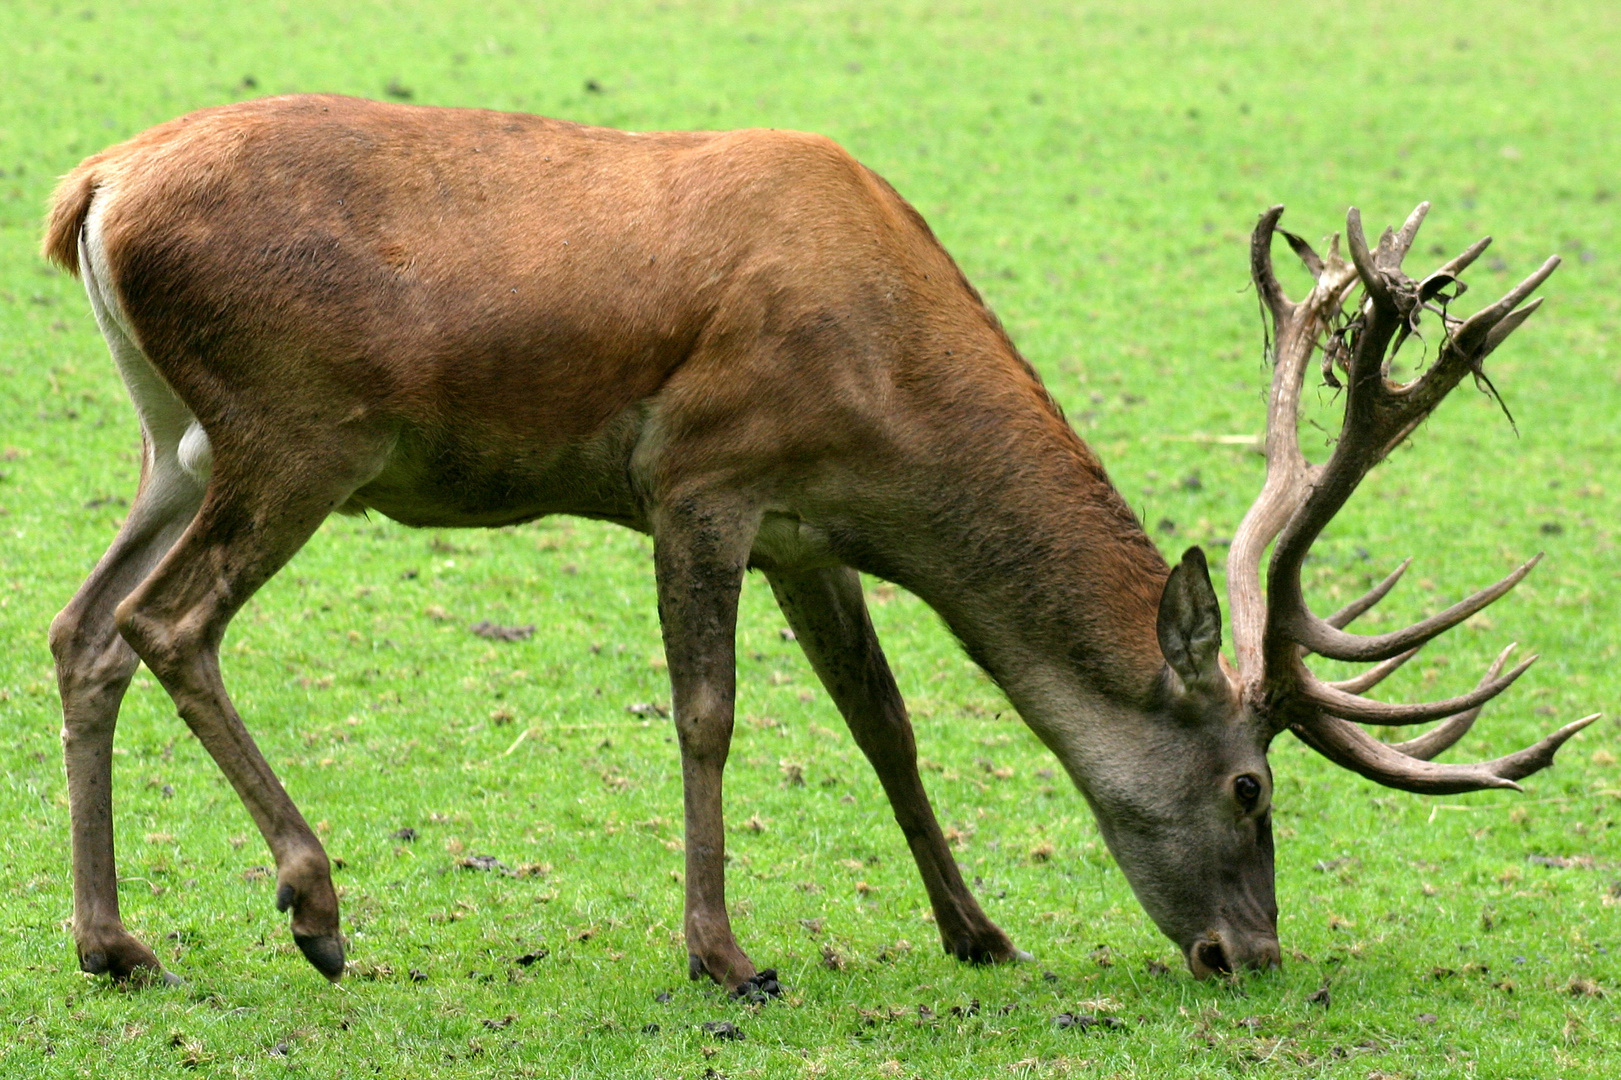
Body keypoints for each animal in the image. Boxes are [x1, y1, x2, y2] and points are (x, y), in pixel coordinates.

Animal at [41, 94, 1595, 992]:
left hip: (174, 442)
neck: (891, 392)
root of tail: (93, 193)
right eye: (1253, 787)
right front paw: (725, 956)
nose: (1250, 954)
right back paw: (314, 907)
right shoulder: (700, 474)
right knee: (167, 625)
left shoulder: (807, 525)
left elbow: (883, 722)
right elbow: (708, 713)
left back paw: (116, 942)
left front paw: (976, 929)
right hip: (301, 430)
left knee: (80, 629)